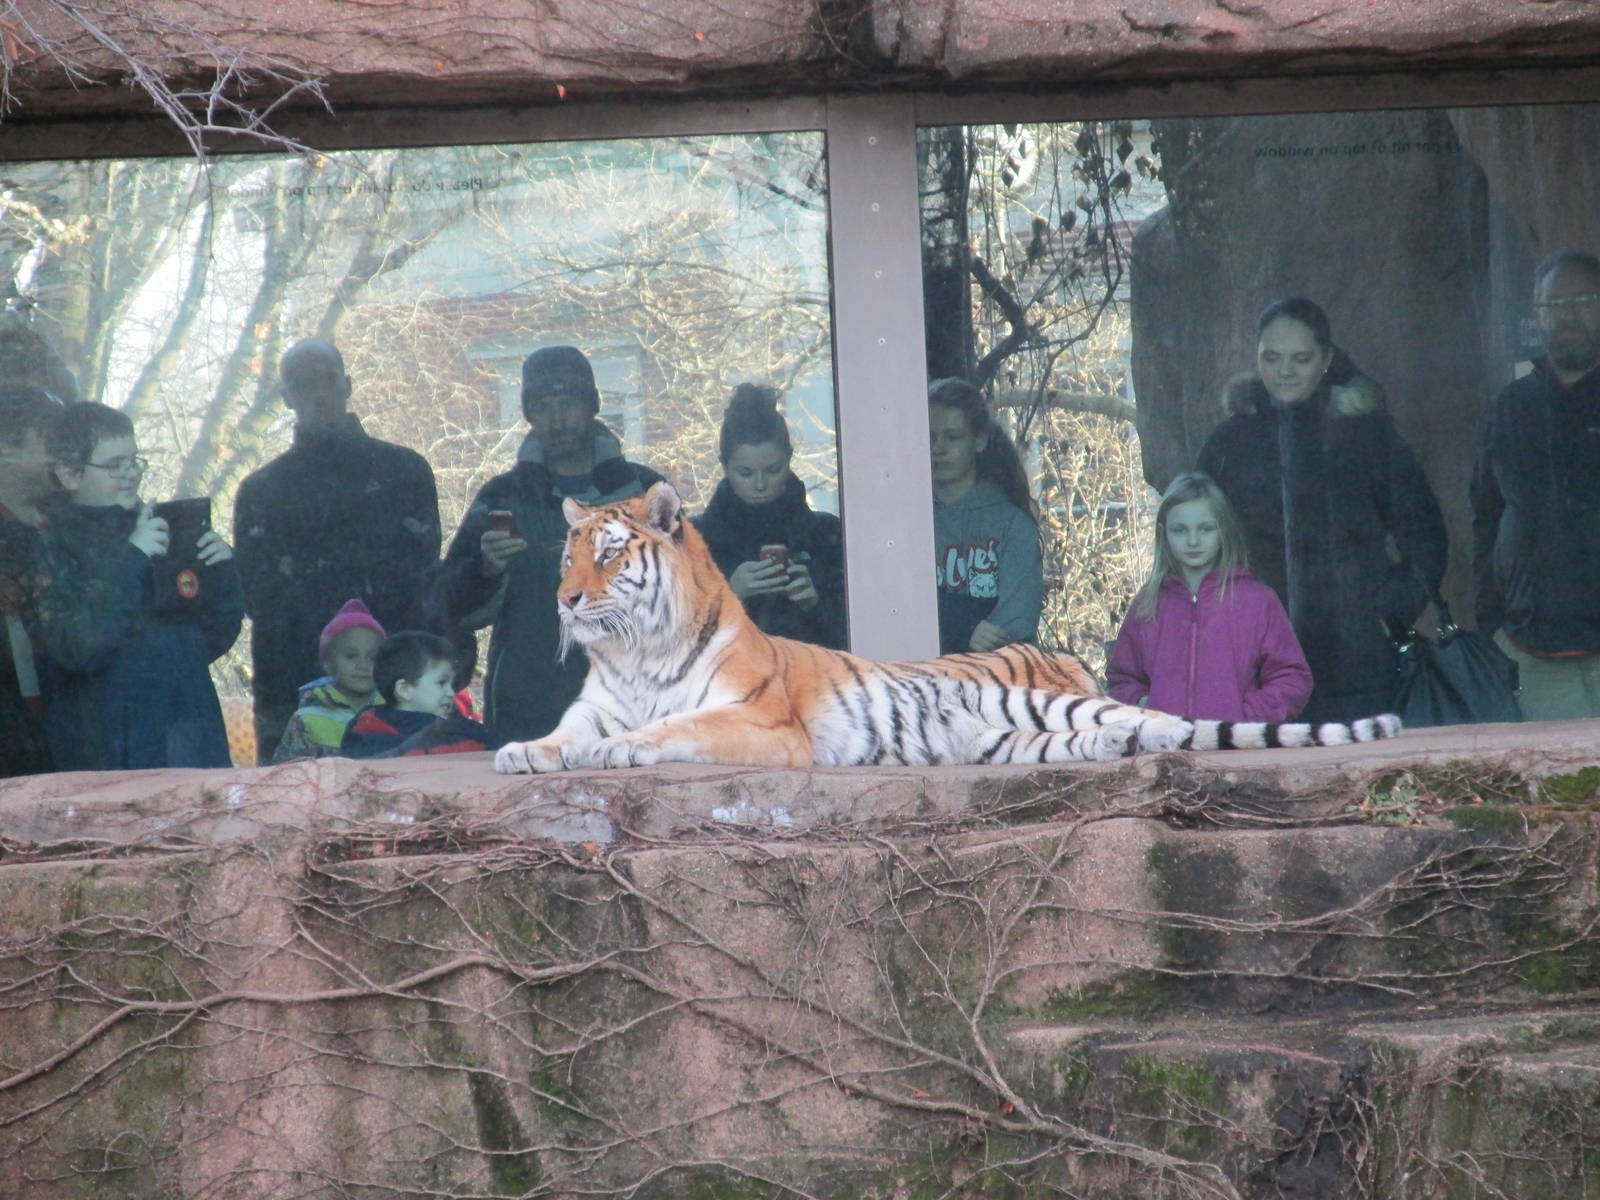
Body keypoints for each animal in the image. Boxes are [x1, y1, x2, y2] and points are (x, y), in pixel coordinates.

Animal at [493, 483, 1401, 774]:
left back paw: (1161, 738)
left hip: (1059, 705)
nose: (565, 601)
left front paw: (620, 752)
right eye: (565, 557)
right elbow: (558, 734)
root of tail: (1059, 653)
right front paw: (521, 752)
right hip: (1005, 739)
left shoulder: (761, 723)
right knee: (1106, 738)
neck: (635, 652)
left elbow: (676, 727)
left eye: (609, 555)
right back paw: (1113, 751)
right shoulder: (592, 705)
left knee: (1170, 720)